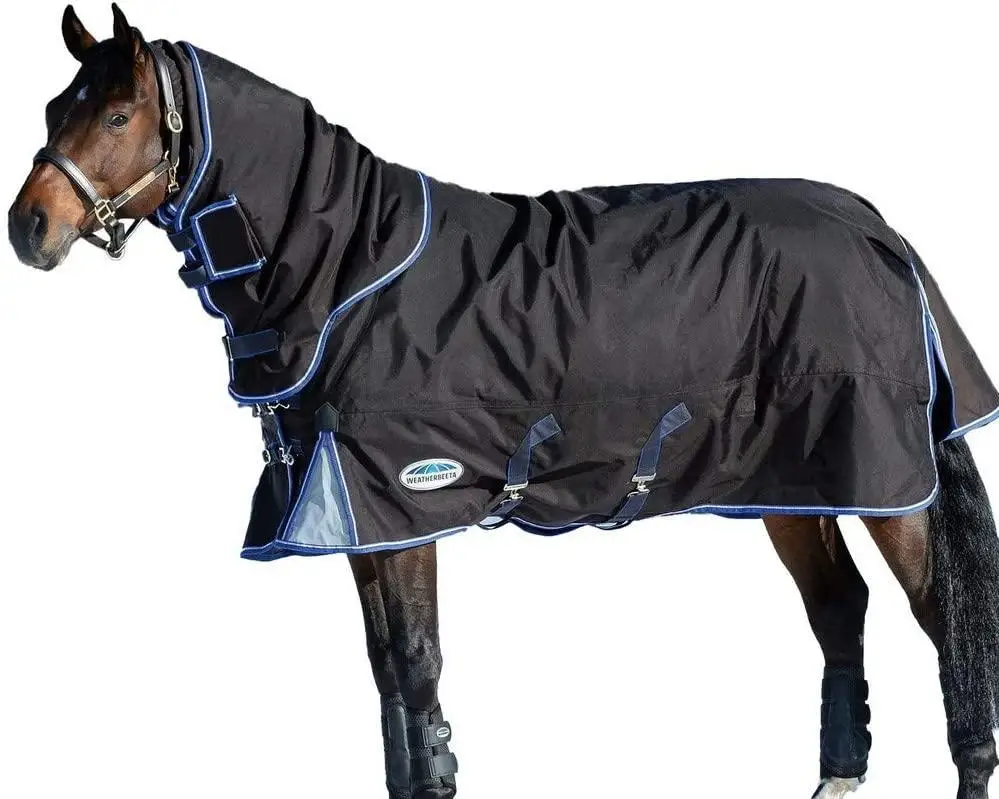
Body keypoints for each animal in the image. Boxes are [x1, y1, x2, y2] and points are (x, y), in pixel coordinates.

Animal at [9, 6, 999, 798]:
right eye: (57, 109)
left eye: (120, 114)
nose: (29, 228)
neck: (349, 271)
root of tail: (878, 231)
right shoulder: (359, 520)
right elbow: (388, 681)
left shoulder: (401, 503)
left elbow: (416, 668)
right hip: (794, 482)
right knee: (838, 607)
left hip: (886, 480)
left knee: (944, 622)